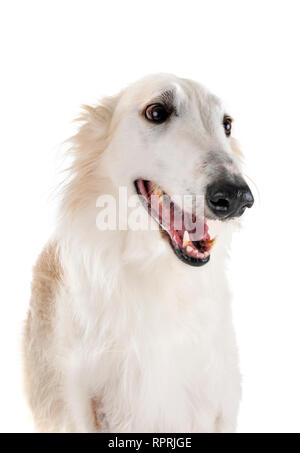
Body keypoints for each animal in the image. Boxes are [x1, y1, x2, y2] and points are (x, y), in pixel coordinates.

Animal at [22, 73, 253, 430]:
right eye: (156, 112)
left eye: (226, 124)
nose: (238, 197)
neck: (157, 274)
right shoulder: (81, 401)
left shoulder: (217, 401)